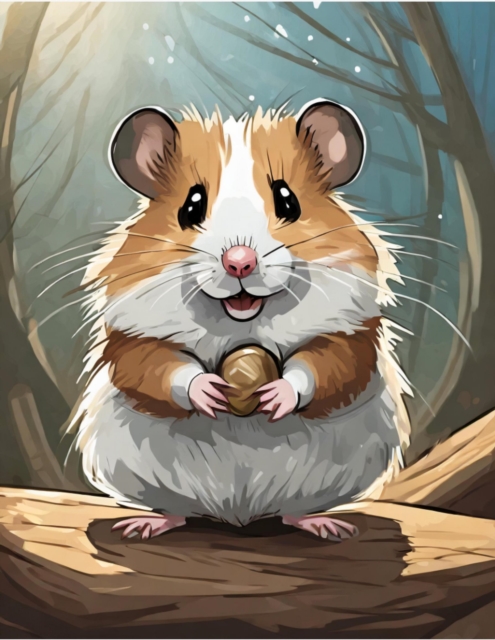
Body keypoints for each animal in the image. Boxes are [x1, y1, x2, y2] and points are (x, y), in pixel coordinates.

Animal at [72, 100, 411, 541]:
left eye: (288, 202)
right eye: (191, 206)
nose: (239, 263)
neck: (242, 322)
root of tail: (238, 514)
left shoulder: (352, 332)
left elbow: (327, 365)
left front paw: (275, 396)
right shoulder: (130, 337)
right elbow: (154, 367)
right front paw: (211, 392)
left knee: (295, 510)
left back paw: (326, 526)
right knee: (176, 509)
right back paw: (143, 525)